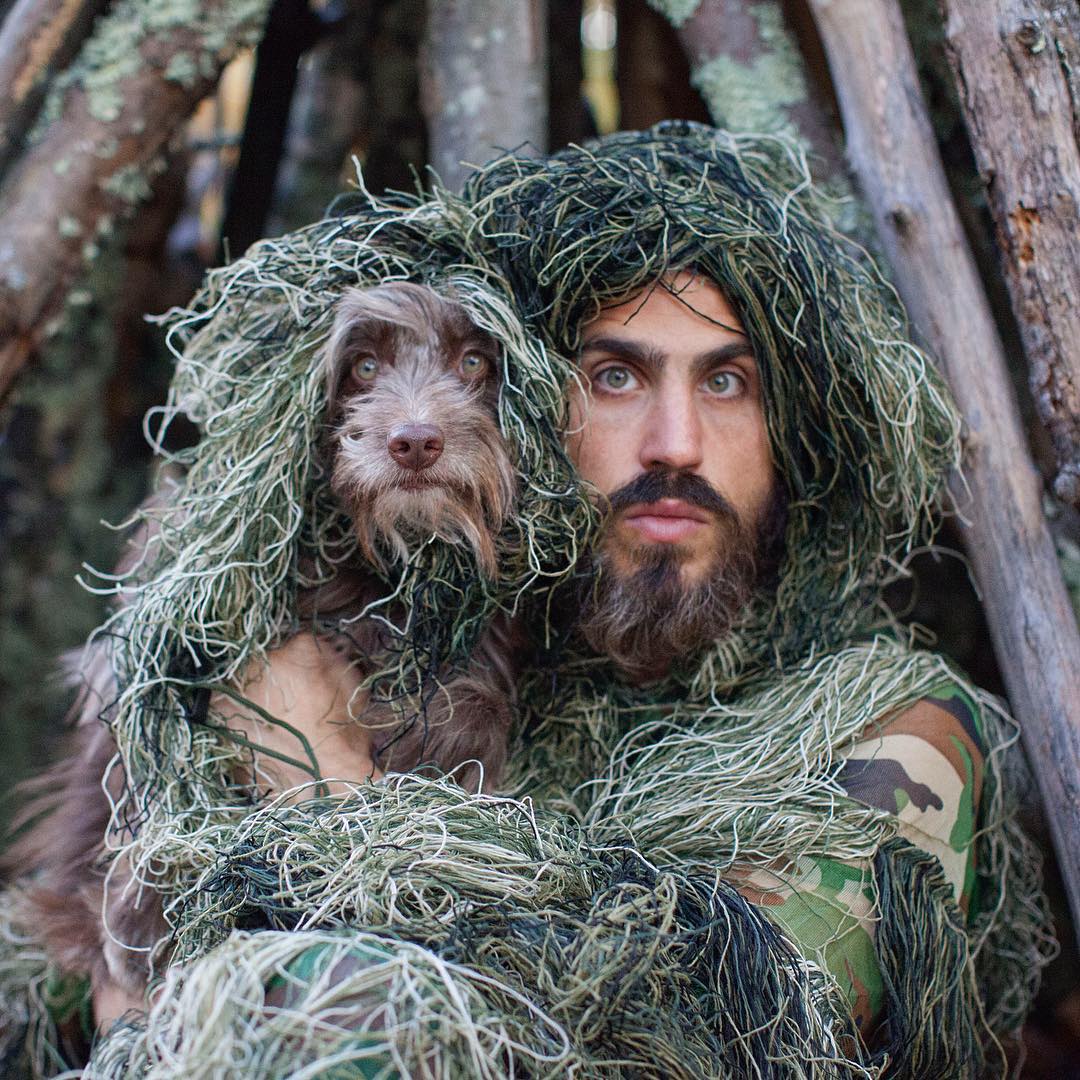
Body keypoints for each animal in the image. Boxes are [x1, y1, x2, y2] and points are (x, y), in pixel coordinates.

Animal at [4, 278, 518, 1028]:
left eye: (476, 361)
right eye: (363, 366)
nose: (415, 441)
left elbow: (468, 701)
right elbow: (148, 766)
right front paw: (140, 913)